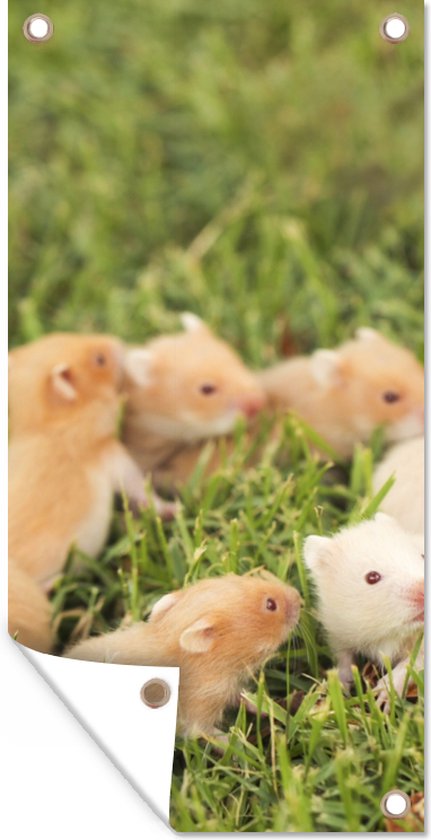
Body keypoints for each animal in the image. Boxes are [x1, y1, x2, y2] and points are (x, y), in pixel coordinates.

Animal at [9, 333, 176, 588]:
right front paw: (173, 508)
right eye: (99, 360)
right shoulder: (114, 457)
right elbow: (141, 489)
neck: (48, 428)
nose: (117, 342)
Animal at [66, 572, 301, 737]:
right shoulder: (200, 711)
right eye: (270, 604)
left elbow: (245, 697)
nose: (299, 596)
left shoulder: (227, 686)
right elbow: (212, 736)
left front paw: (274, 707)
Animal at [303, 514, 424, 710]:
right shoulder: (338, 631)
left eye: (422, 555)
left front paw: (382, 698)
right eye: (372, 577)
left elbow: (410, 664)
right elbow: (343, 658)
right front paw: (337, 691)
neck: (387, 634)